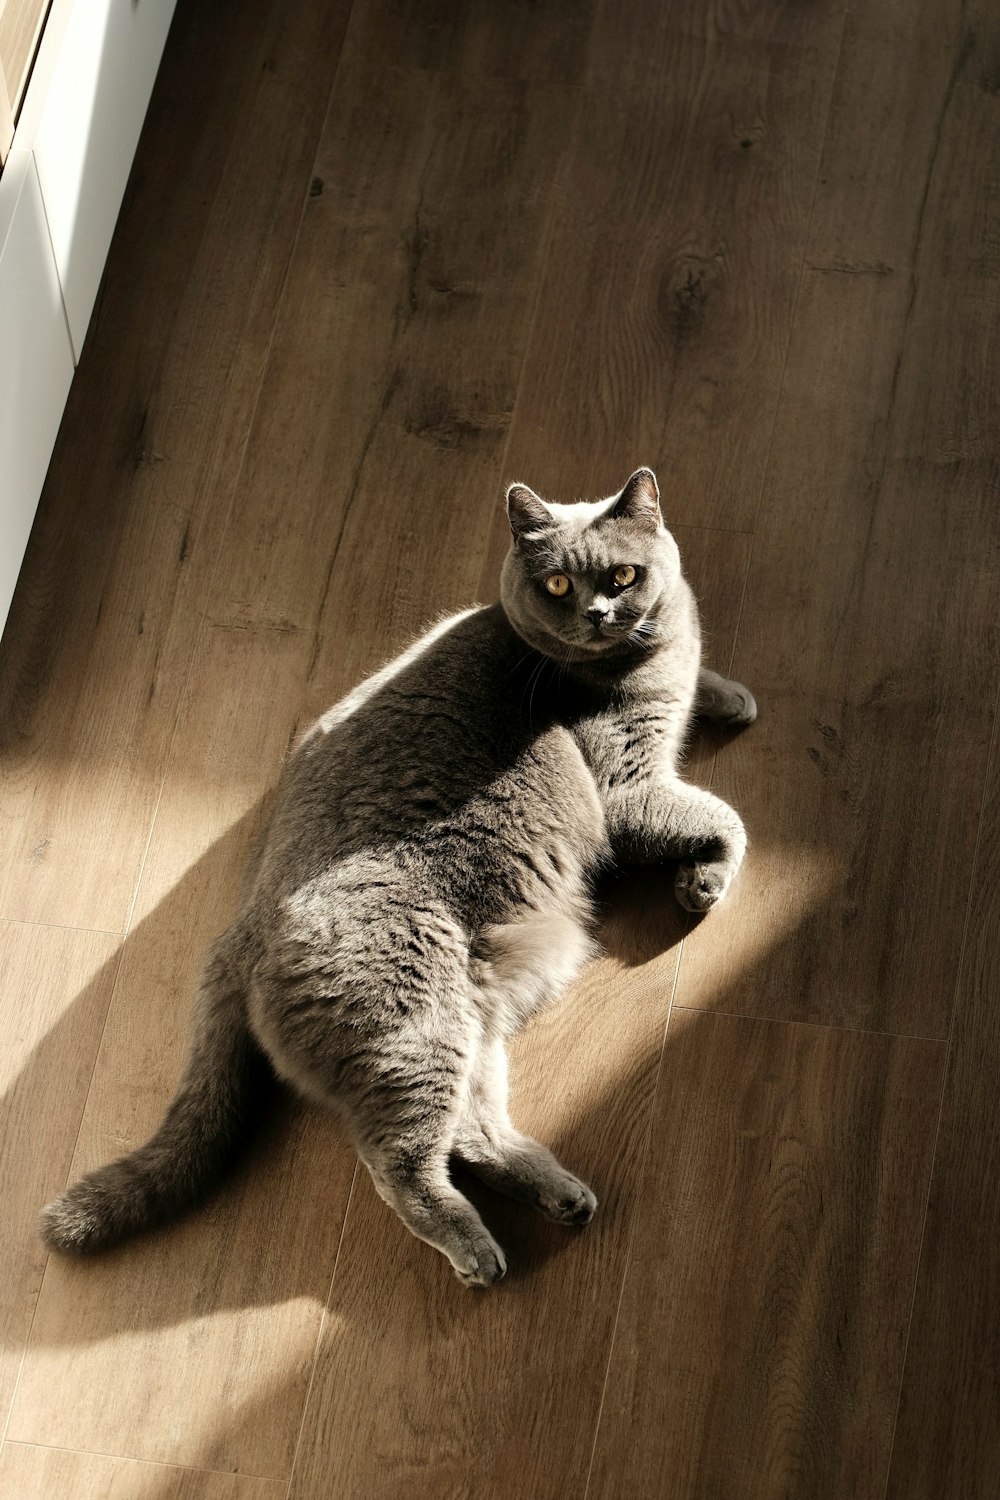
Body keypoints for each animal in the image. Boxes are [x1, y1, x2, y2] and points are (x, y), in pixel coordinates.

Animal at [43, 471, 755, 1290]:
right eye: (556, 584)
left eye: (624, 576)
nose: (599, 614)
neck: (644, 660)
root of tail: (242, 926)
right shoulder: (625, 786)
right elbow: (723, 814)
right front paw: (704, 881)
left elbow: (703, 690)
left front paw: (730, 695)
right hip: (415, 1023)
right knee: (399, 1163)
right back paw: (479, 1252)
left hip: (473, 1012)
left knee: (473, 1132)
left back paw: (559, 1194)